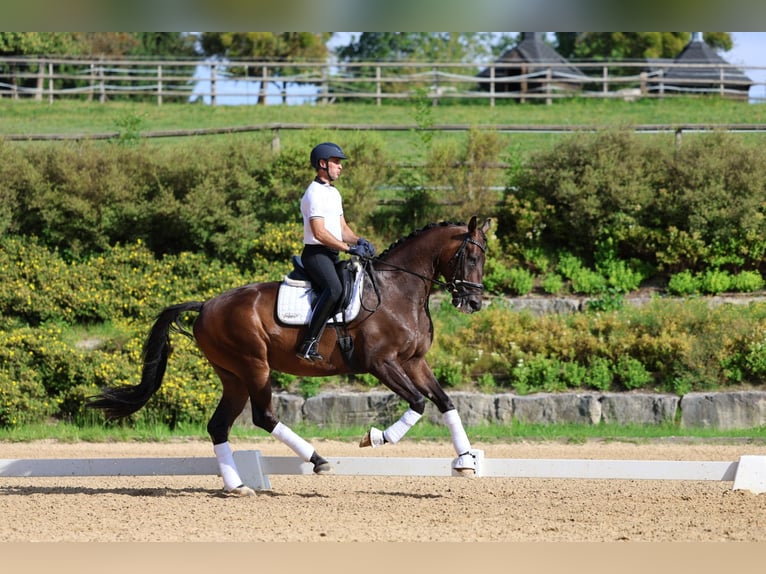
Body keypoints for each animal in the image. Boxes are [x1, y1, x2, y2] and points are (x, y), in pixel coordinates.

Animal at [85, 216, 492, 496]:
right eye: (470, 256)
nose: (473, 302)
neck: (398, 291)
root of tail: (205, 305)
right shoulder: (382, 363)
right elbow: (419, 403)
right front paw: (375, 438)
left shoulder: (414, 362)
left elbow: (445, 402)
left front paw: (466, 461)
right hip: (254, 366)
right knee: (263, 416)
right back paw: (317, 461)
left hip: (233, 375)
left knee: (220, 426)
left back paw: (237, 486)